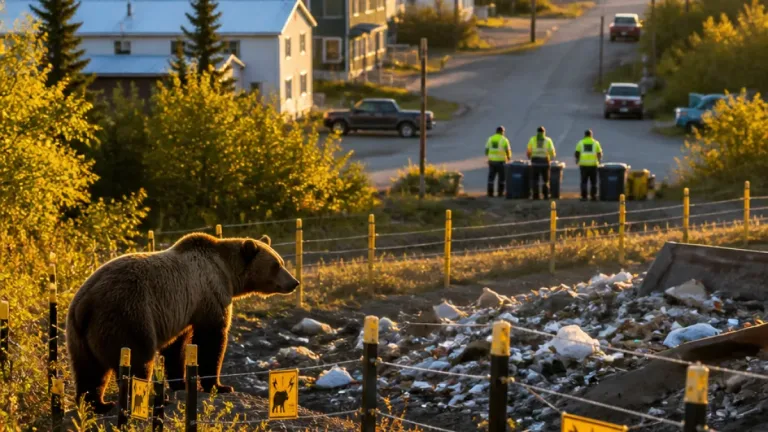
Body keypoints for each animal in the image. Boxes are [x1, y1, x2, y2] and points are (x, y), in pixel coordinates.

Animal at [65, 232, 299, 414]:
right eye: (276, 265)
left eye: (281, 262)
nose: (294, 282)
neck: (227, 272)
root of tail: (86, 303)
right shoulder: (209, 294)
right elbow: (211, 339)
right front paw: (220, 385)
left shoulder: (182, 310)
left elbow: (176, 347)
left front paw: (180, 382)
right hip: (127, 316)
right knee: (138, 359)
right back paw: (150, 398)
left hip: (80, 334)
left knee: (89, 370)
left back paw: (98, 404)